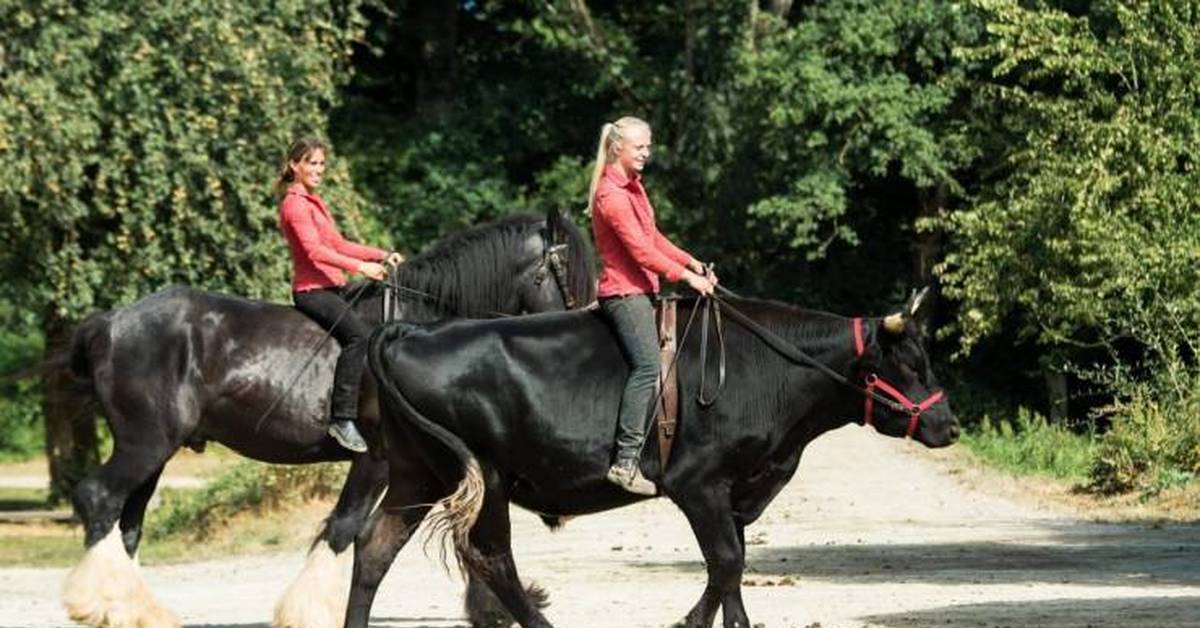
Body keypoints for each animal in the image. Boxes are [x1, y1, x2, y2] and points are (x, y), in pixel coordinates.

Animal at [60, 210, 595, 628]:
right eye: (565, 270)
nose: (588, 320)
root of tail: (110, 322)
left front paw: (494, 609)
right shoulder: (380, 461)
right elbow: (347, 526)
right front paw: (312, 612)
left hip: (156, 452)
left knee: (127, 524)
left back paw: (131, 611)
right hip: (146, 443)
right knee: (99, 499)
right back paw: (102, 605)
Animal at [348, 296, 955, 628]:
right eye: (909, 364)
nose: (948, 425)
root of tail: (411, 331)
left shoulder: (738, 489)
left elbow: (729, 564)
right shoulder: (699, 483)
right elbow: (726, 561)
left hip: (417, 474)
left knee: (374, 548)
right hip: (483, 478)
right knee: (491, 556)